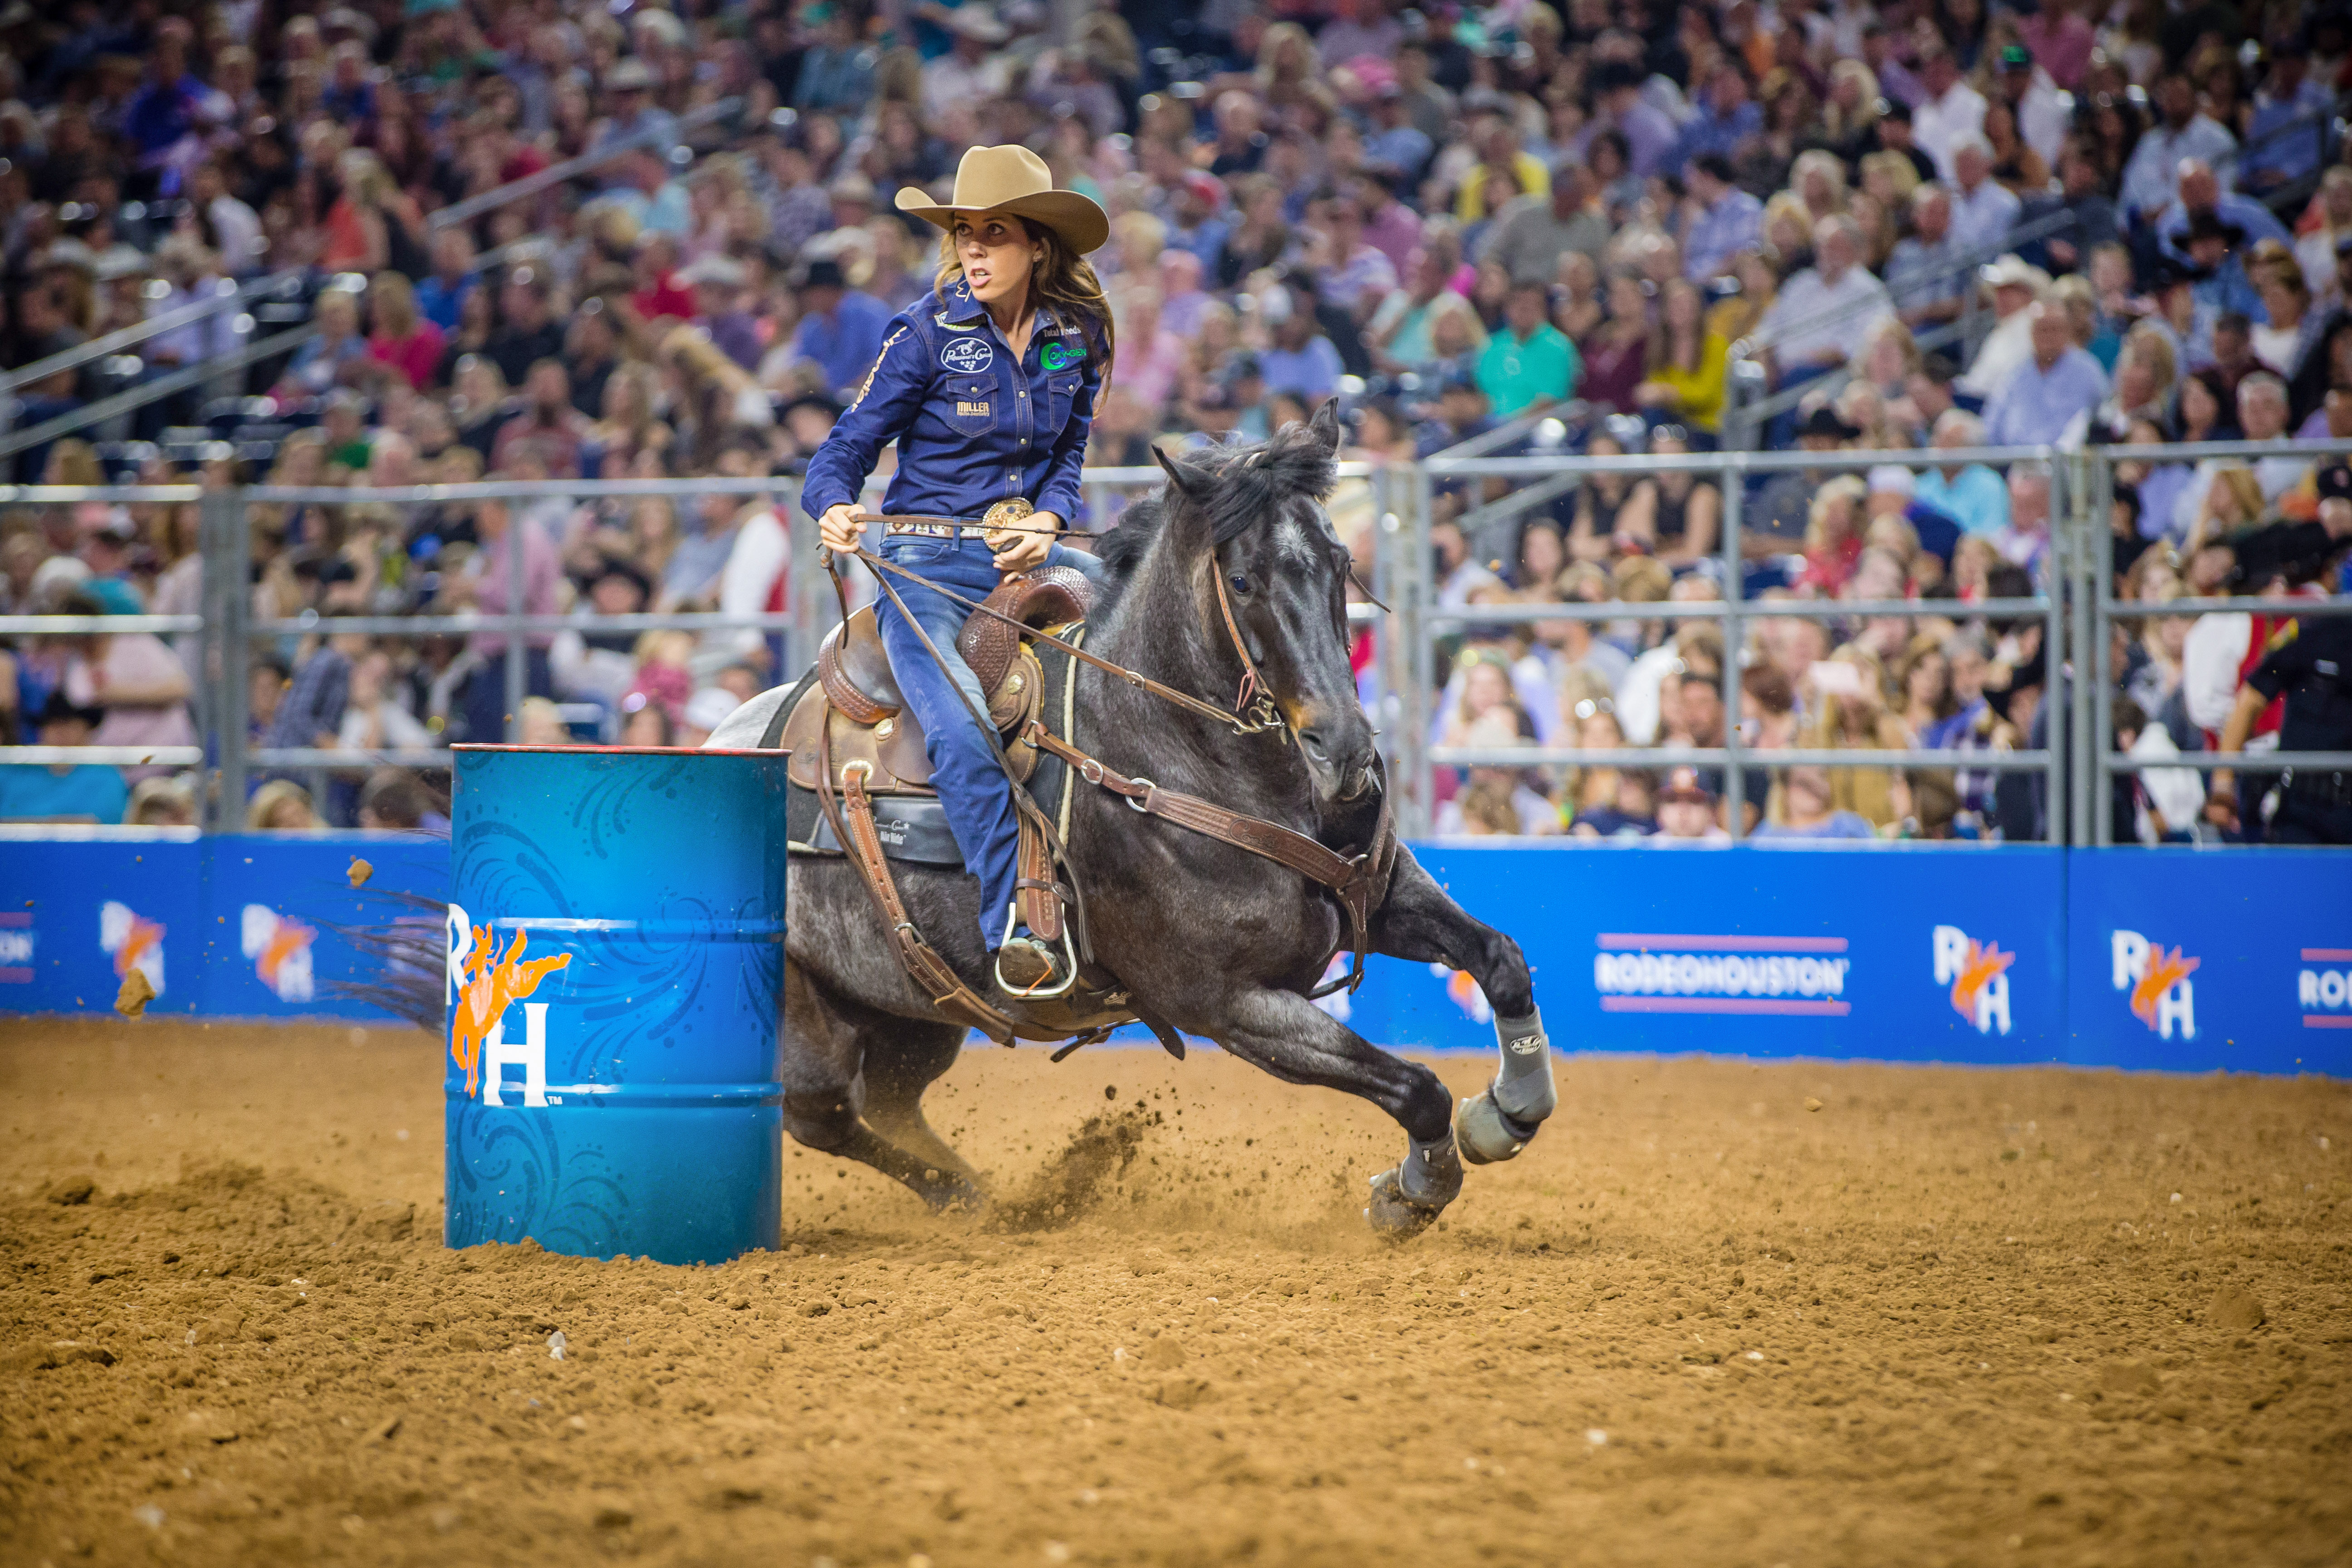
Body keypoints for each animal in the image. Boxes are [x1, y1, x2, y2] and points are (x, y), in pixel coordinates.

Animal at [715, 404, 1562, 1241]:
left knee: (892, 1103)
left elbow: (1502, 959)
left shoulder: (1378, 897)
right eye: (1243, 580)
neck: (1178, 750)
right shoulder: (1229, 1004)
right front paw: (1412, 1189)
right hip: (807, 1014)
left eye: (1339, 562)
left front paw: (1509, 1111)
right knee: (823, 1113)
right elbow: (1416, 1086)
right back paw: (978, 1200)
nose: (1346, 751)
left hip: (913, 1011)